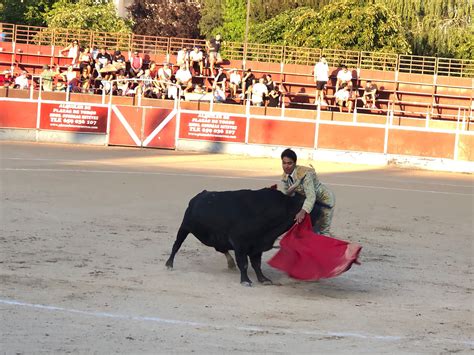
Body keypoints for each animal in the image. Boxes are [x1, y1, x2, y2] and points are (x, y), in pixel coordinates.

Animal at [165, 189, 304, 286]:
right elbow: (244, 263)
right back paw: (169, 264)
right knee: (177, 244)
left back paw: (231, 264)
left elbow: (257, 264)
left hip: (217, 238)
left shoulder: (257, 246)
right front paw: (246, 281)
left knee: (221, 249)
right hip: (185, 226)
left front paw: (263, 279)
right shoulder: (240, 244)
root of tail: (199, 196)